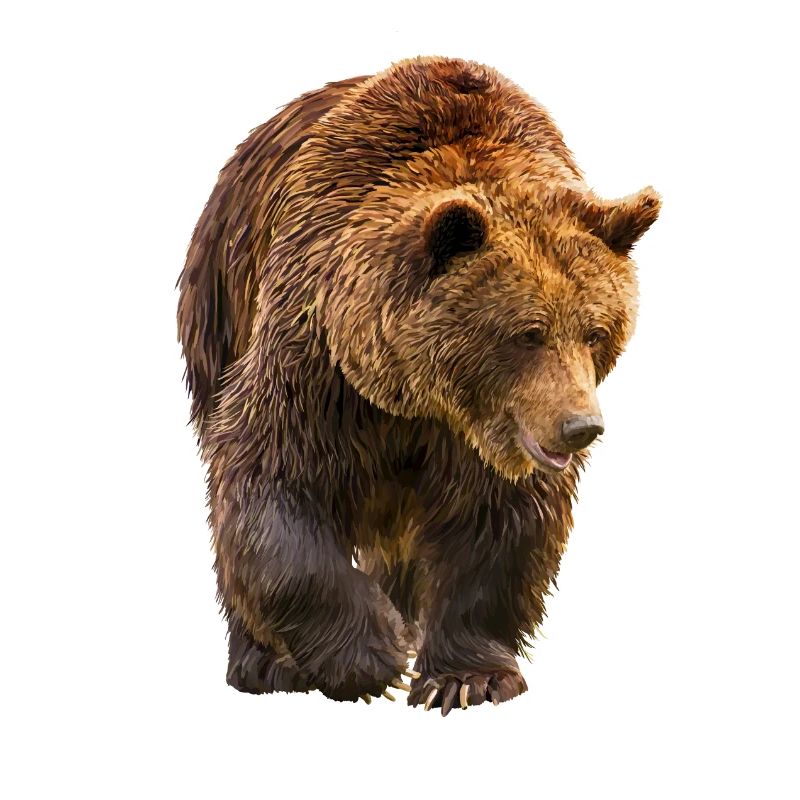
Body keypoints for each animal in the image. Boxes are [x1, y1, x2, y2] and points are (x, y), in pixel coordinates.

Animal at [177, 55, 660, 715]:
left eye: (596, 331)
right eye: (529, 333)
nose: (580, 426)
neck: (417, 394)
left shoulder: (489, 437)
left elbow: (500, 522)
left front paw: (467, 677)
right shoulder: (316, 359)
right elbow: (271, 480)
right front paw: (370, 659)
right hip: (220, 303)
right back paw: (263, 662)